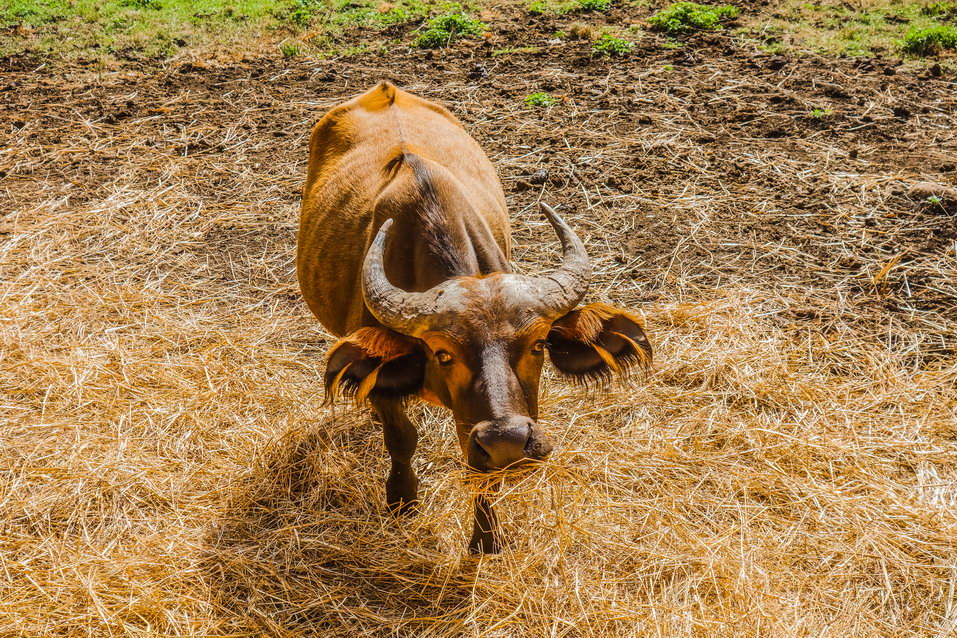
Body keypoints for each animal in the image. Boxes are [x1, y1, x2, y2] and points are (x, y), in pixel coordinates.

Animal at [298, 81, 648, 556]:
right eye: (442, 354)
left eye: (539, 344)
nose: (506, 442)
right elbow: (401, 439)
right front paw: (402, 499)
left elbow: (482, 475)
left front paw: (485, 539)